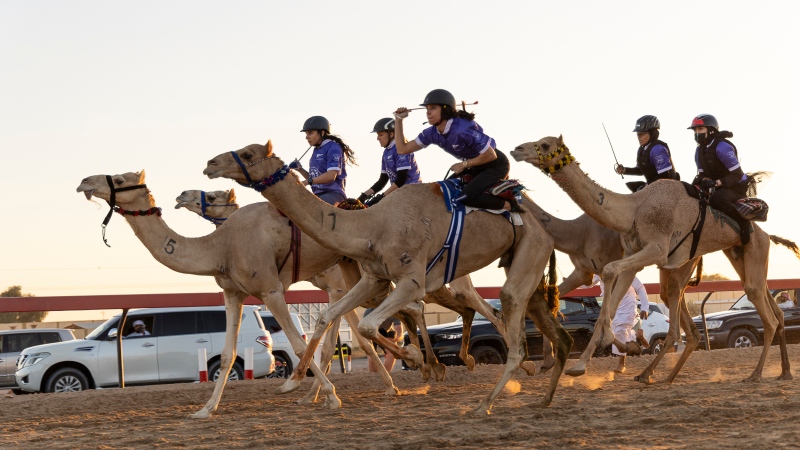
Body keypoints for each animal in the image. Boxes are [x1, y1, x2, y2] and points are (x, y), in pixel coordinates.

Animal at [203, 141, 572, 414]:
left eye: (248, 154)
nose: (210, 163)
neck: (372, 226)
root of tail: (543, 227)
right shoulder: (374, 279)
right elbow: (326, 316)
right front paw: (293, 382)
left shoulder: (412, 280)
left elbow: (369, 325)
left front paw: (418, 362)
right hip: (523, 264)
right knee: (546, 327)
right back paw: (539, 392)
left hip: (527, 253)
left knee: (508, 319)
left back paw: (485, 401)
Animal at [512, 136, 792, 384]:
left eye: (545, 144)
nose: (517, 149)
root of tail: (764, 233)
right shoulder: (620, 260)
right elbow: (606, 305)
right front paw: (574, 364)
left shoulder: (652, 250)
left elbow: (610, 283)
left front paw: (612, 347)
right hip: (729, 255)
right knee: (757, 305)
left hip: (745, 251)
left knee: (761, 309)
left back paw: (755, 375)